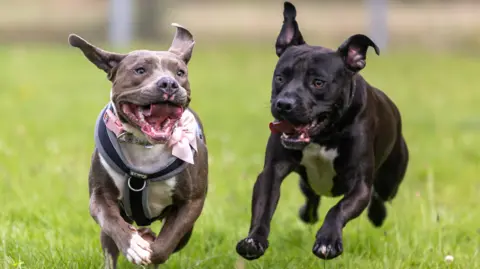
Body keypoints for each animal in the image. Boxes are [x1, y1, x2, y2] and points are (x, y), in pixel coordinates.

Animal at [236, 0, 408, 260]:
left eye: (318, 83)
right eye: (280, 78)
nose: (284, 104)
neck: (323, 136)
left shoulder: (360, 184)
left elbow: (339, 208)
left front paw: (328, 241)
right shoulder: (272, 172)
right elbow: (263, 207)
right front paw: (254, 240)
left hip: (391, 179)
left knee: (379, 197)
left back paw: (377, 216)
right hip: (308, 182)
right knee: (312, 197)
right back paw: (307, 213)